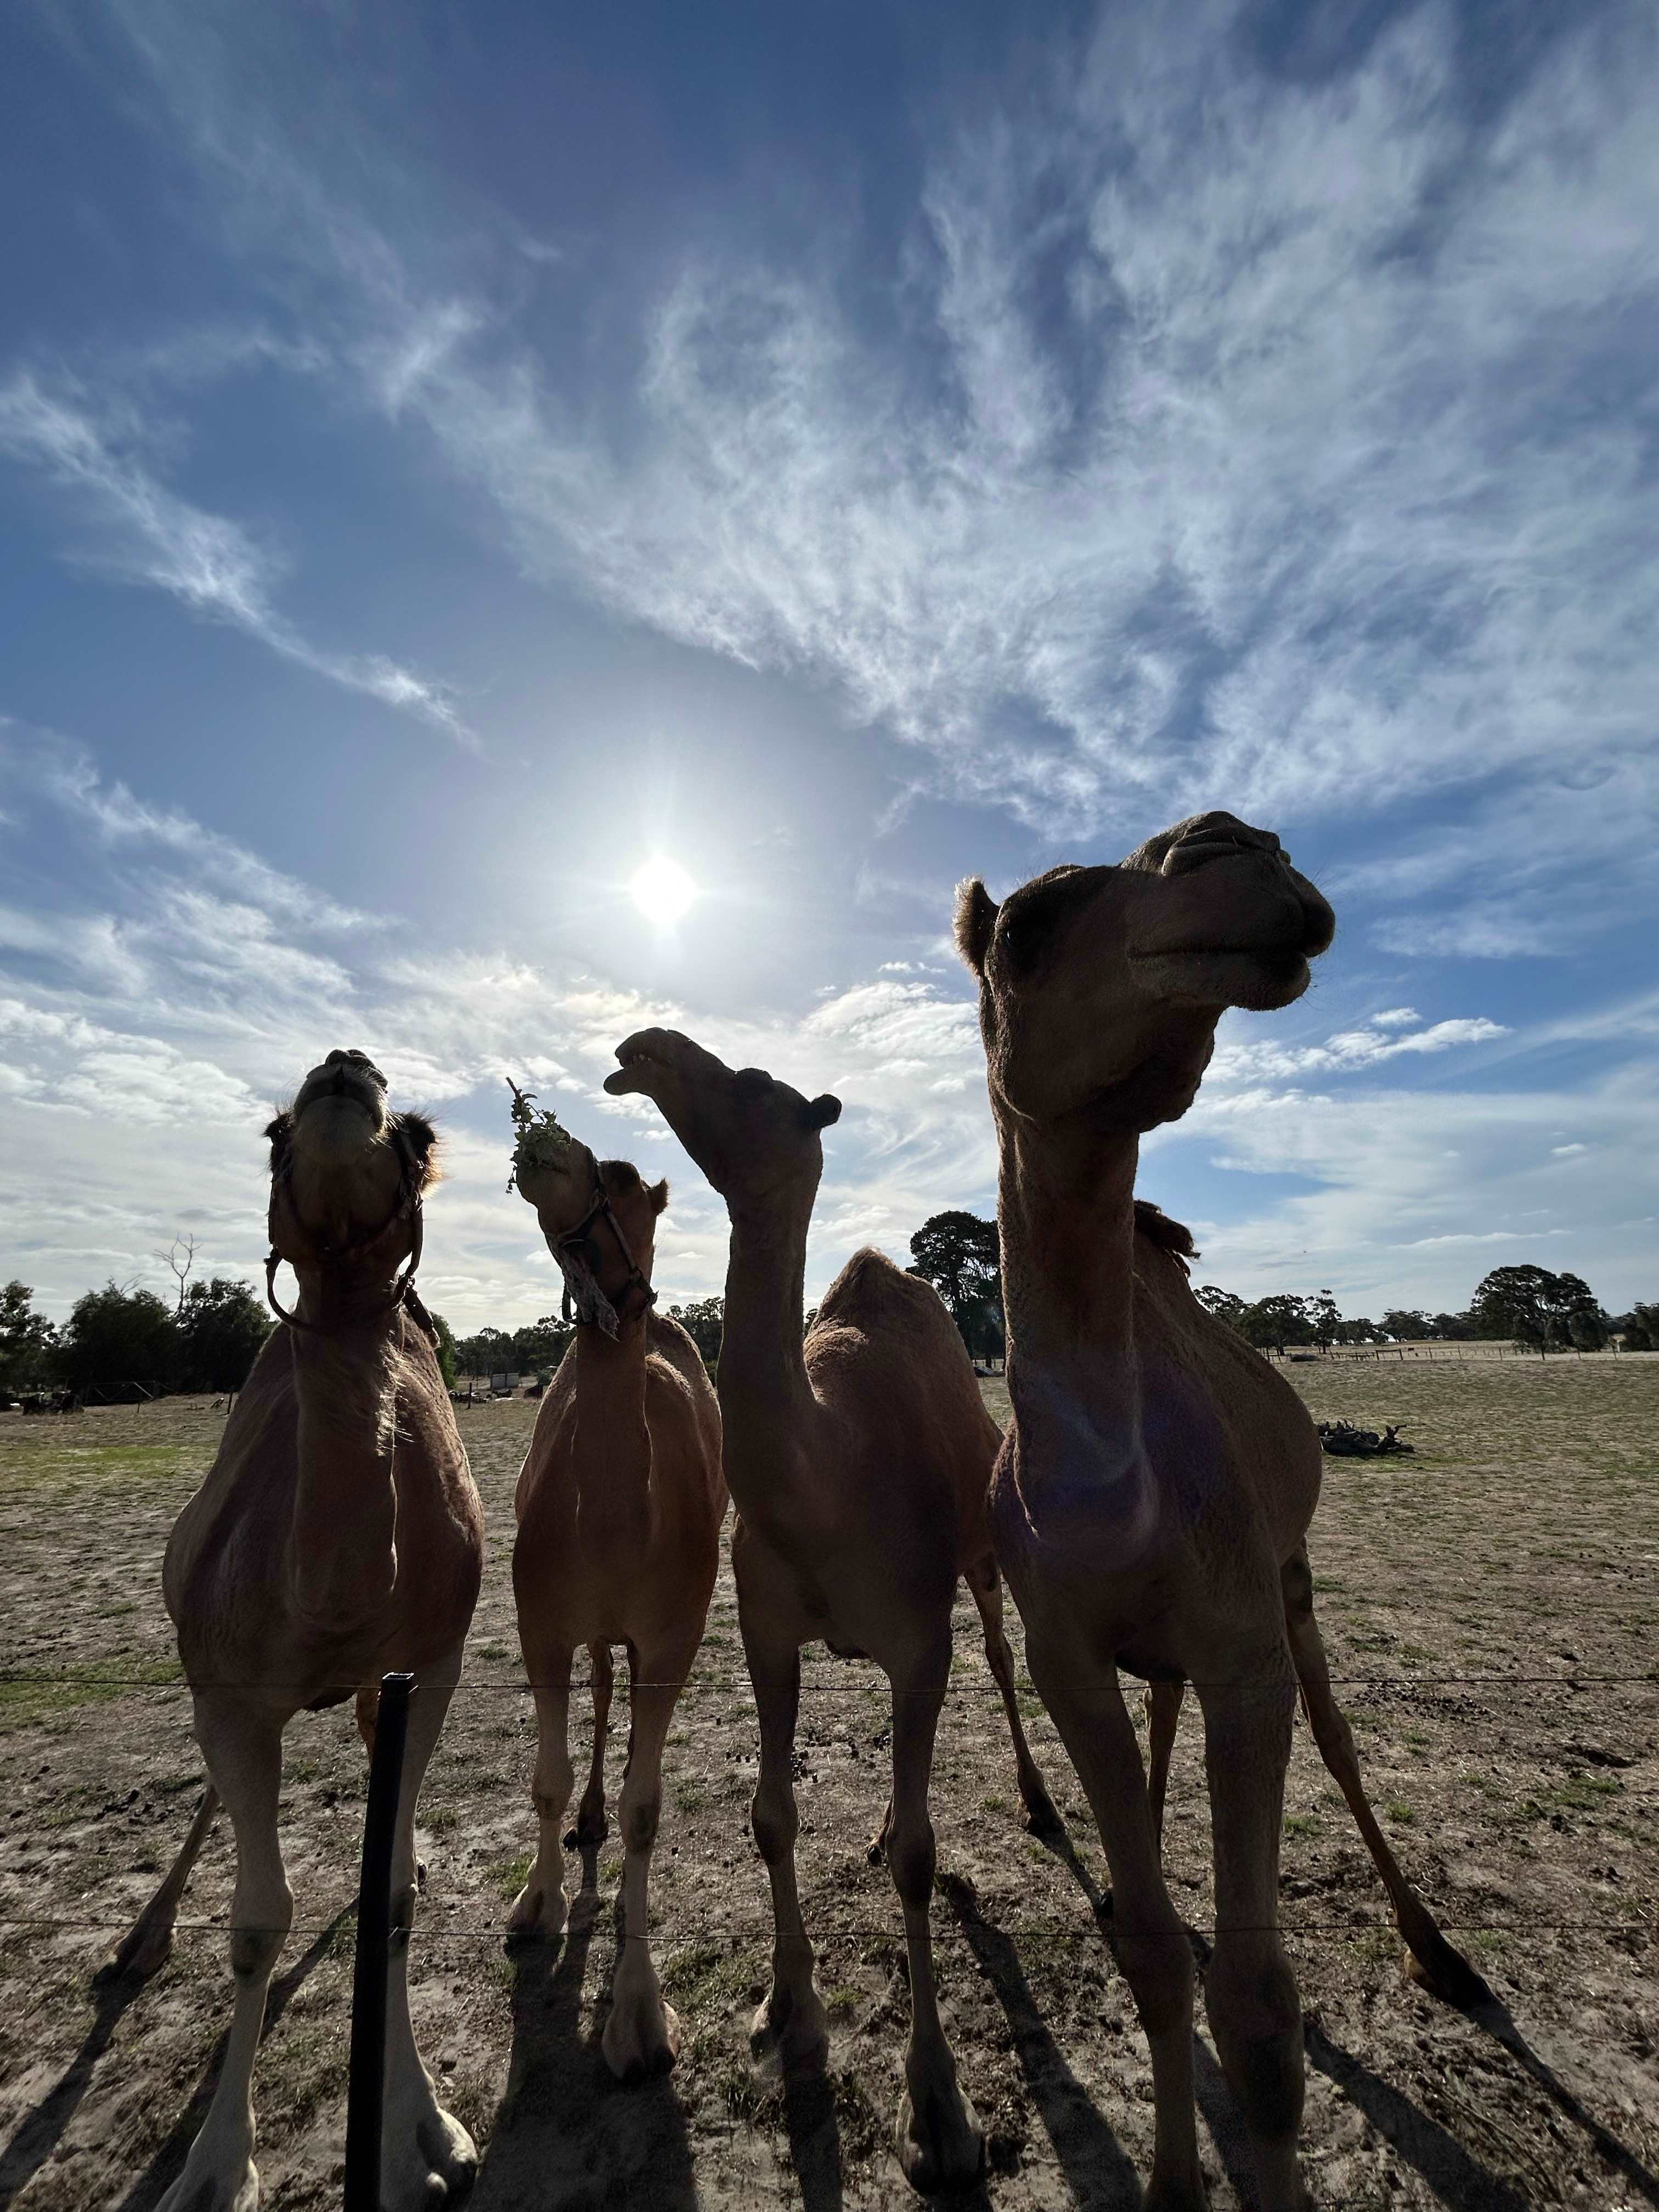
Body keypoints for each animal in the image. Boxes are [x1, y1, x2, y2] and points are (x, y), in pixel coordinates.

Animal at [106, 1048, 483, 2212]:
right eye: (273, 1130)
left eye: (416, 1131)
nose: (341, 1071)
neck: (331, 1595)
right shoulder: (228, 1689)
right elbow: (252, 1921)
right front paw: (216, 2165)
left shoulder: (430, 1664)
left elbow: (392, 1891)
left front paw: (425, 2131)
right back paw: (141, 1938)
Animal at [604, 1028, 1057, 2191]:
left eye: (756, 1085)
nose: (644, 1046)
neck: (826, 1477)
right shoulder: (767, 1633)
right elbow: (772, 1816)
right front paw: (787, 2006)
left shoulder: (917, 1640)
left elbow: (922, 1857)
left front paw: (938, 2112)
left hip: (981, 1550)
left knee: (1001, 1655)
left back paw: (1038, 1800)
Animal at [955, 813, 1490, 2212]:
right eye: (1026, 928)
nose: (1238, 848)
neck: (1107, 1496)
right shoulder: (1065, 1654)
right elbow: (1151, 1954)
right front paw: (1170, 2182)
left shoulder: (1247, 1643)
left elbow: (1257, 2011)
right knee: (1160, 1721)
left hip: (1289, 1577)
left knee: (1337, 1738)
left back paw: (1438, 1953)